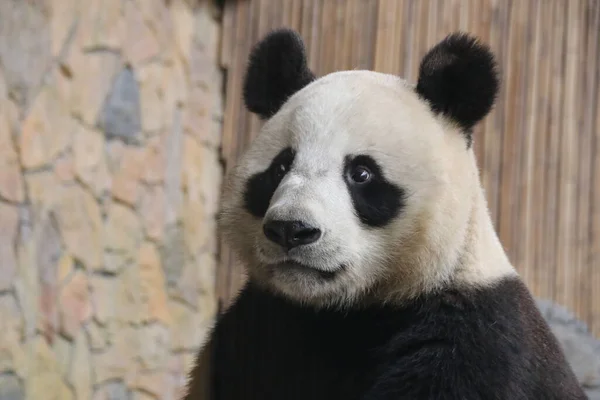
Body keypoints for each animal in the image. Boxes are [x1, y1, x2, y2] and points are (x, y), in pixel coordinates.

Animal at [184, 28, 584, 400]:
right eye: (280, 167)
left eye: (361, 173)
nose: (290, 229)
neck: (349, 311)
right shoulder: (257, 330)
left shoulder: (475, 339)